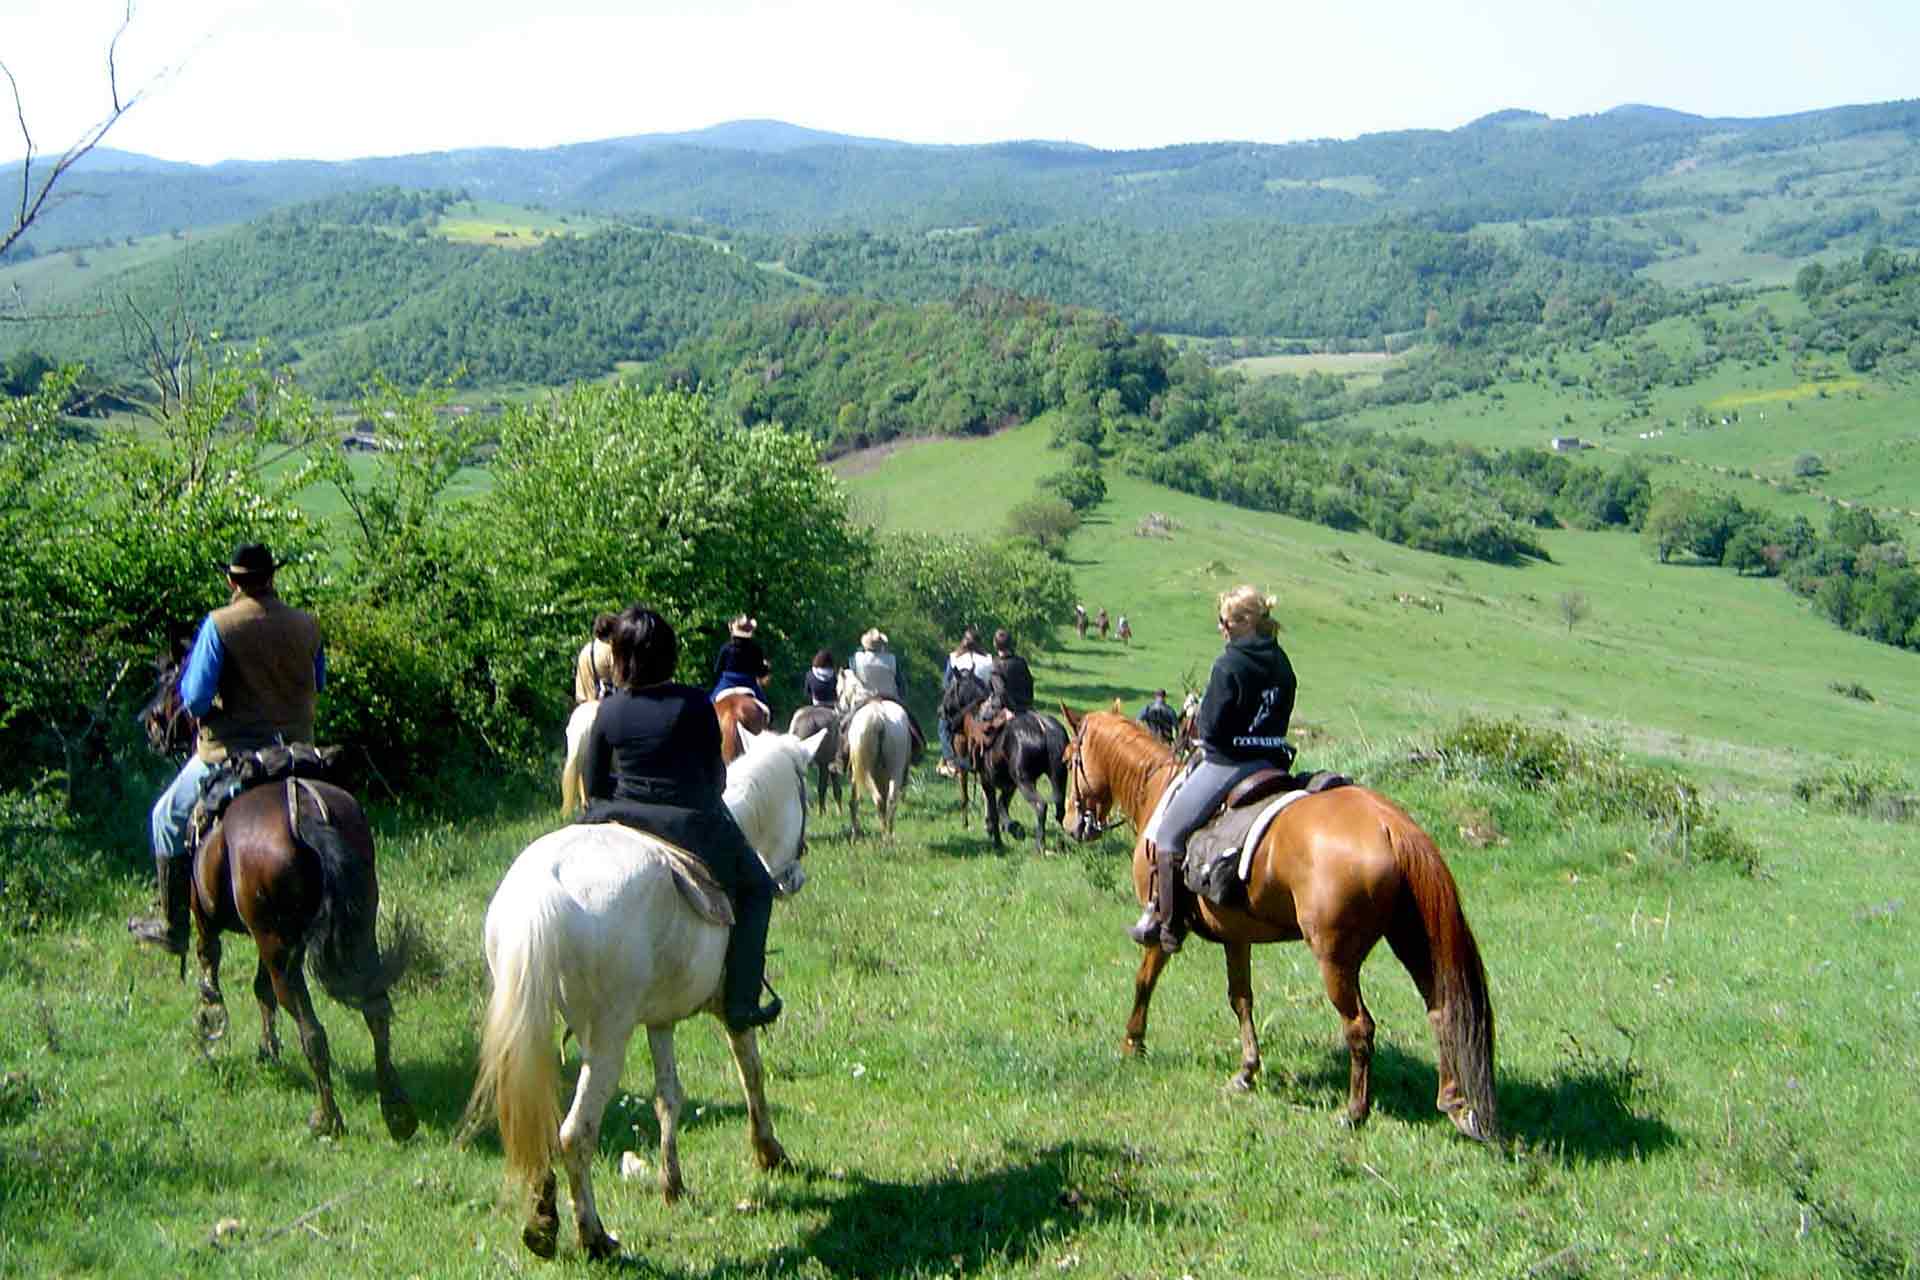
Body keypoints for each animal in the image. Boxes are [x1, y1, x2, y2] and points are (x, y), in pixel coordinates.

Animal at [189, 771, 418, 1143]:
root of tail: (306, 814)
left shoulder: (207, 916)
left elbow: (211, 959)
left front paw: (212, 1017)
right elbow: (260, 988)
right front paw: (267, 1050)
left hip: (276, 946)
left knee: (312, 1033)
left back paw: (327, 1120)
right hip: (355, 935)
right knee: (376, 1012)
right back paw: (397, 1113)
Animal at [470, 725, 825, 1266]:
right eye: (804, 795)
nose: (795, 877)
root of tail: (543, 887)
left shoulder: (660, 1021)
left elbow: (668, 1096)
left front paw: (672, 1184)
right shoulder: (731, 1011)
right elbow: (752, 1072)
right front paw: (769, 1152)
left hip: (533, 1029)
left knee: (536, 1123)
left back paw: (542, 1225)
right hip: (607, 1041)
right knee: (575, 1133)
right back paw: (595, 1237)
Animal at [1059, 710, 1489, 1143]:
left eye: (1069, 760)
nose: (1069, 822)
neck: (1157, 791)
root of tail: (1390, 825)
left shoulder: (1167, 927)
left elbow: (1144, 980)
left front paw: (1133, 1043)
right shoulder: (1236, 936)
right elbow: (1241, 998)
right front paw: (1246, 1071)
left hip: (1335, 959)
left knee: (1359, 1027)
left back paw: (1355, 1111)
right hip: (1411, 939)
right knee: (1442, 1010)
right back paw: (1455, 1104)